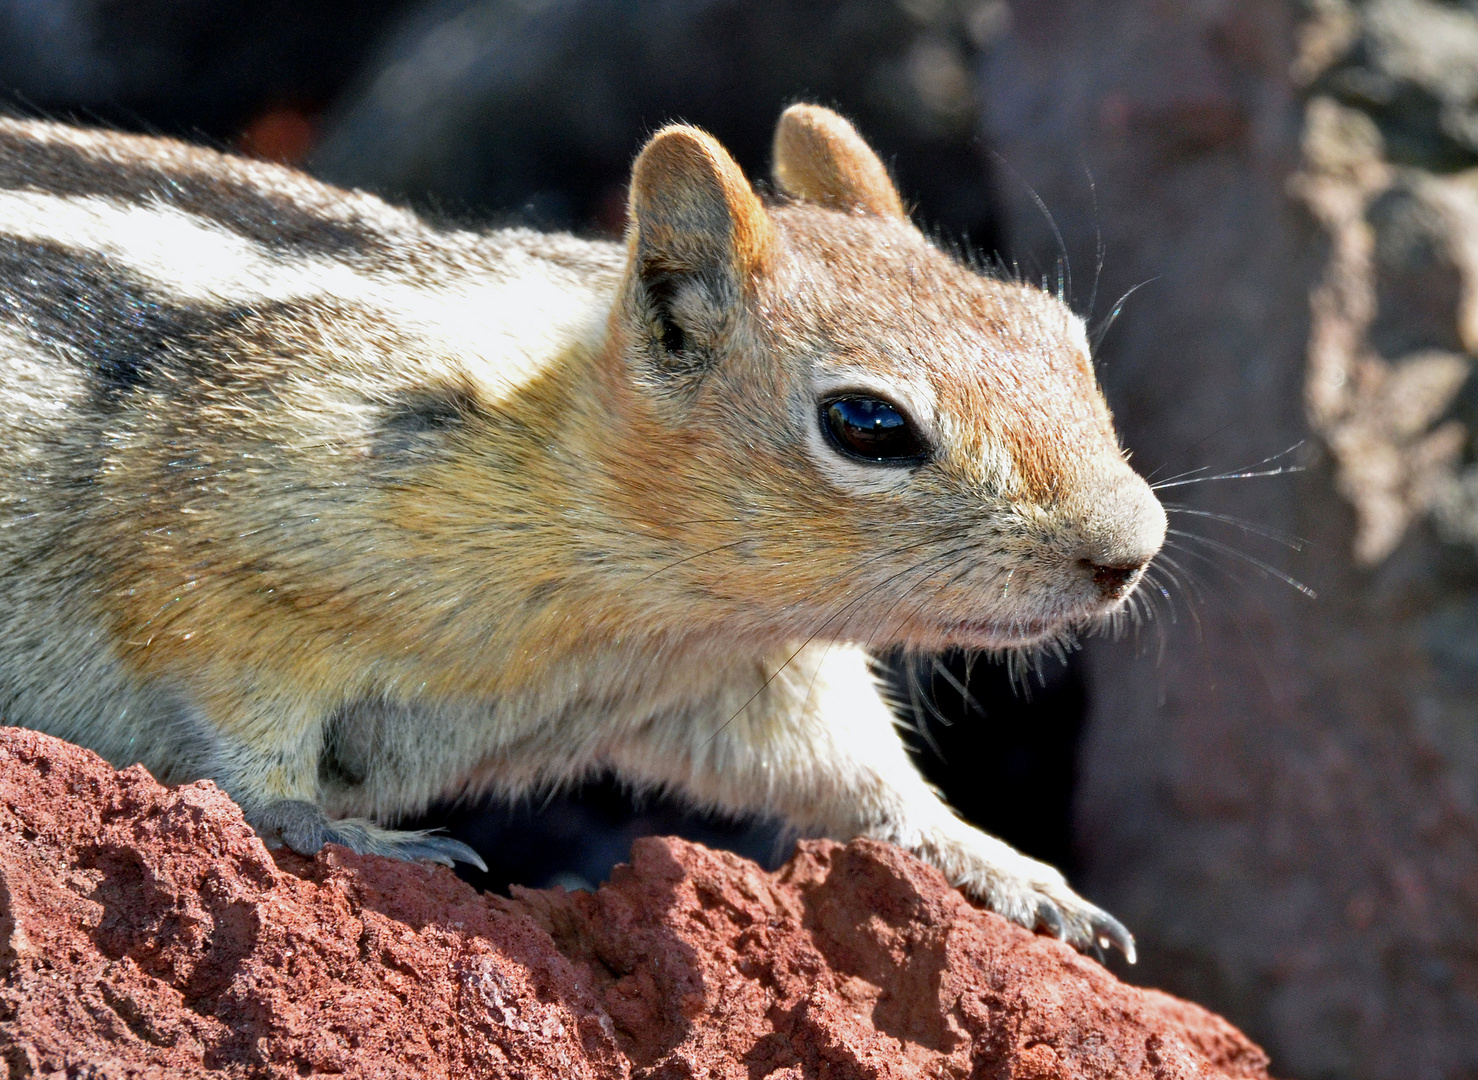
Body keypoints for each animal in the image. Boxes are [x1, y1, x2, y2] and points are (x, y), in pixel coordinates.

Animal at [0, 105, 1164, 957]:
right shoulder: (212, 543)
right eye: (866, 424)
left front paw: (998, 864)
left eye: (1060, 332)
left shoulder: (735, 673)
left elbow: (847, 773)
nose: (1131, 550)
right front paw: (329, 823)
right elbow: (241, 723)